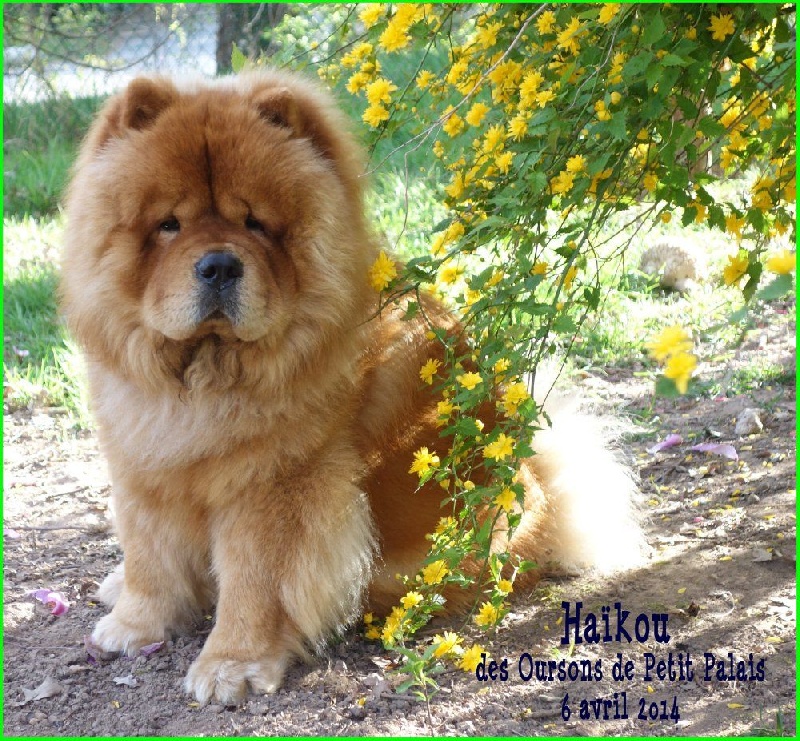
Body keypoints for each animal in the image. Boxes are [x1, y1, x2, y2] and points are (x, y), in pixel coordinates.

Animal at [62, 72, 648, 704]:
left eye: (255, 223)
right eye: (167, 225)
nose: (218, 264)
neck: (205, 379)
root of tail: (544, 488)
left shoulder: (273, 487)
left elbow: (254, 583)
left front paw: (230, 666)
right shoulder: (143, 461)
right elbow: (149, 554)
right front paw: (133, 624)